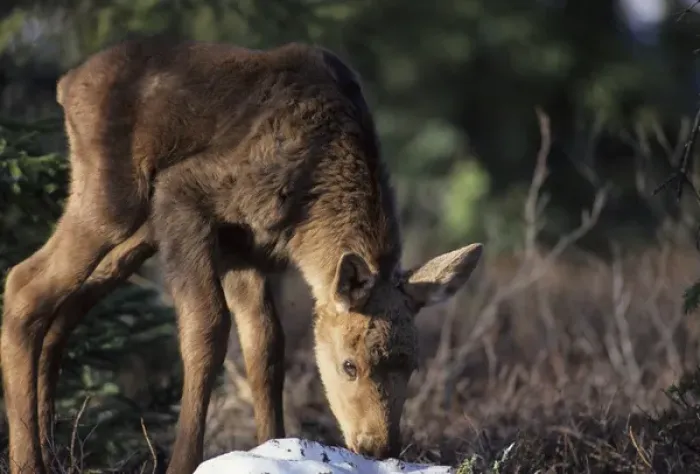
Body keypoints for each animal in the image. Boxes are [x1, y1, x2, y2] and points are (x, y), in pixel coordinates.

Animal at [0, 36, 484, 474]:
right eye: (349, 365)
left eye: (412, 365)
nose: (378, 446)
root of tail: (67, 83)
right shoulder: (184, 194)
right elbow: (208, 328)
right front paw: (184, 462)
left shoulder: (244, 247)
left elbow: (265, 344)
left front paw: (275, 447)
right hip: (115, 200)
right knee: (24, 283)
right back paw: (28, 460)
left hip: (138, 234)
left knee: (63, 312)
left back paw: (50, 446)